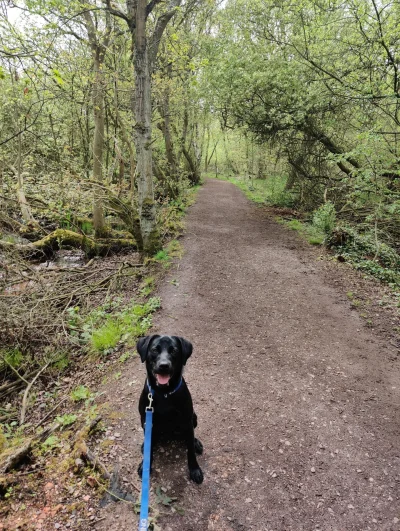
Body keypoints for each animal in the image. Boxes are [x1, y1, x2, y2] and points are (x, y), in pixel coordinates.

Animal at [137, 336, 205, 486]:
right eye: (155, 349)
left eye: (174, 351)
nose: (164, 365)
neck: (164, 393)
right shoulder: (146, 420)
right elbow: (150, 448)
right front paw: (145, 465)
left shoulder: (187, 419)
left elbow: (190, 450)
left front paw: (194, 469)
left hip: (194, 418)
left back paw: (196, 442)